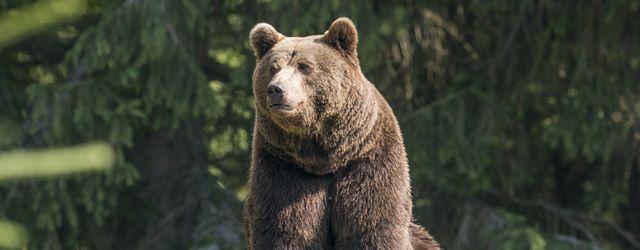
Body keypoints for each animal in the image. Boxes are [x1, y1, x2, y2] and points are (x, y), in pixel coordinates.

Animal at [245, 18, 440, 250]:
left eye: (305, 67)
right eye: (273, 68)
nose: (276, 89)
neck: (323, 156)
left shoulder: (367, 161)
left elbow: (373, 225)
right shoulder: (284, 167)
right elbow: (286, 227)